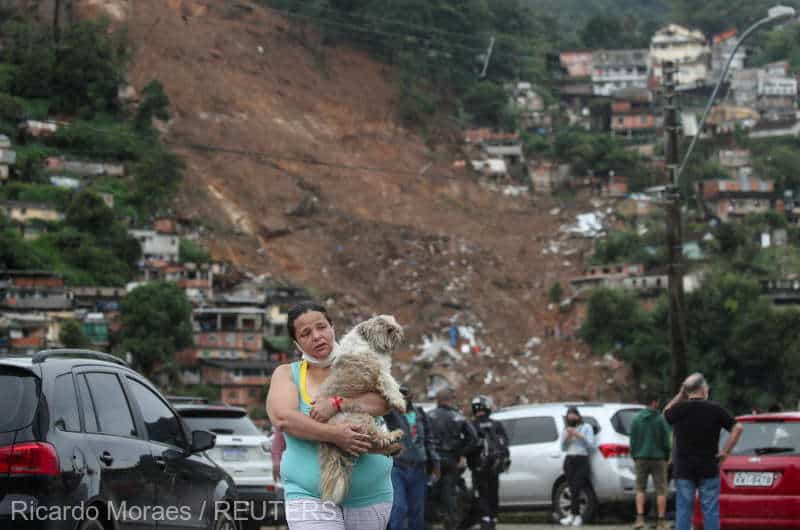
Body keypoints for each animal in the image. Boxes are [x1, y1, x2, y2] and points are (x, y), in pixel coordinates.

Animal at [318, 314, 406, 504]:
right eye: (388, 328)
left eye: (394, 323)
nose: (398, 330)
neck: (367, 342)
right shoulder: (381, 374)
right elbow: (391, 386)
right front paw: (400, 403)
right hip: (362, 418)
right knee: (376, 438)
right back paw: (394, 436)